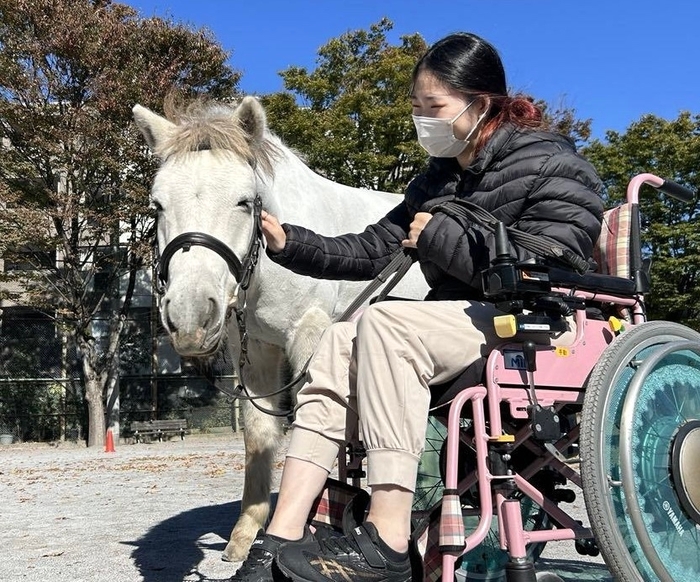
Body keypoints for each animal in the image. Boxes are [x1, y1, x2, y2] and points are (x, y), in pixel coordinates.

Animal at [132, 96, 429, 562]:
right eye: (157, 205)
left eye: (244, 202)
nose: (190, 316)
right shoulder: (255, 350)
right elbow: (260, 433)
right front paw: (248, 530)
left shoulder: (311, 338)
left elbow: (316, 427)